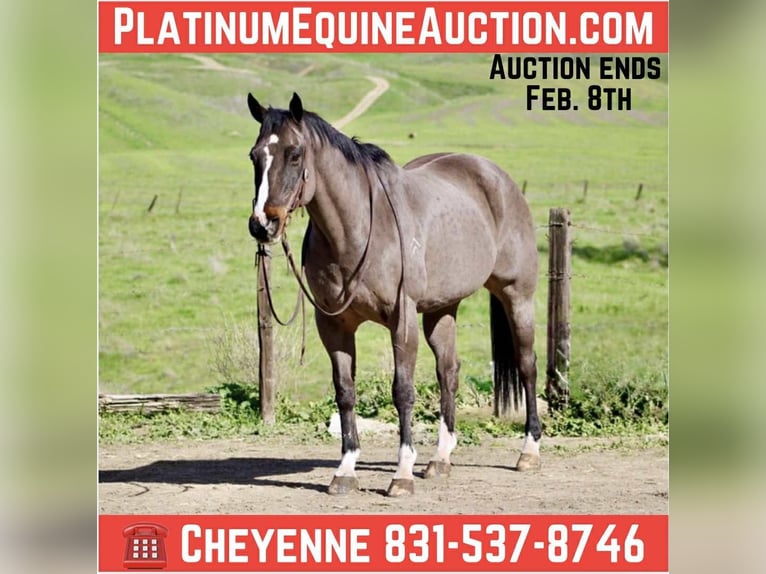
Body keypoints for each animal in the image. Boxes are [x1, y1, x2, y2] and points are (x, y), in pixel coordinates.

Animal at [246, 92, 541, 496]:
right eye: (255, 156)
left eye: (294, 154)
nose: (263, 224)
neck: (358, 230)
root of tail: (498, 178)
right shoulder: (333, 325)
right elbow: (345, 392)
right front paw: (345, 470)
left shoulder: (402, 319)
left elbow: (402, 390)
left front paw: (402, 473)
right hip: (441, 309)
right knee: (449, 371)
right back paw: (440, 459)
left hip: (517, 296)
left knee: (527, 365)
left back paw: (529, 451)